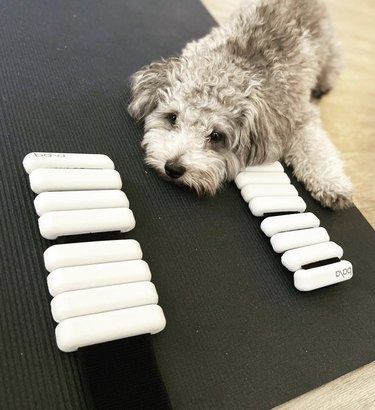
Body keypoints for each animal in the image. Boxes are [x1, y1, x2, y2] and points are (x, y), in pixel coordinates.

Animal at [129, 0, 352, 210]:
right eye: (173, 118)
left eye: (216, 136)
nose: (173, 168)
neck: (236, 65)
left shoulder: (298, 114)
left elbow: (315, 148)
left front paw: (332, 184)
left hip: (331, 57)